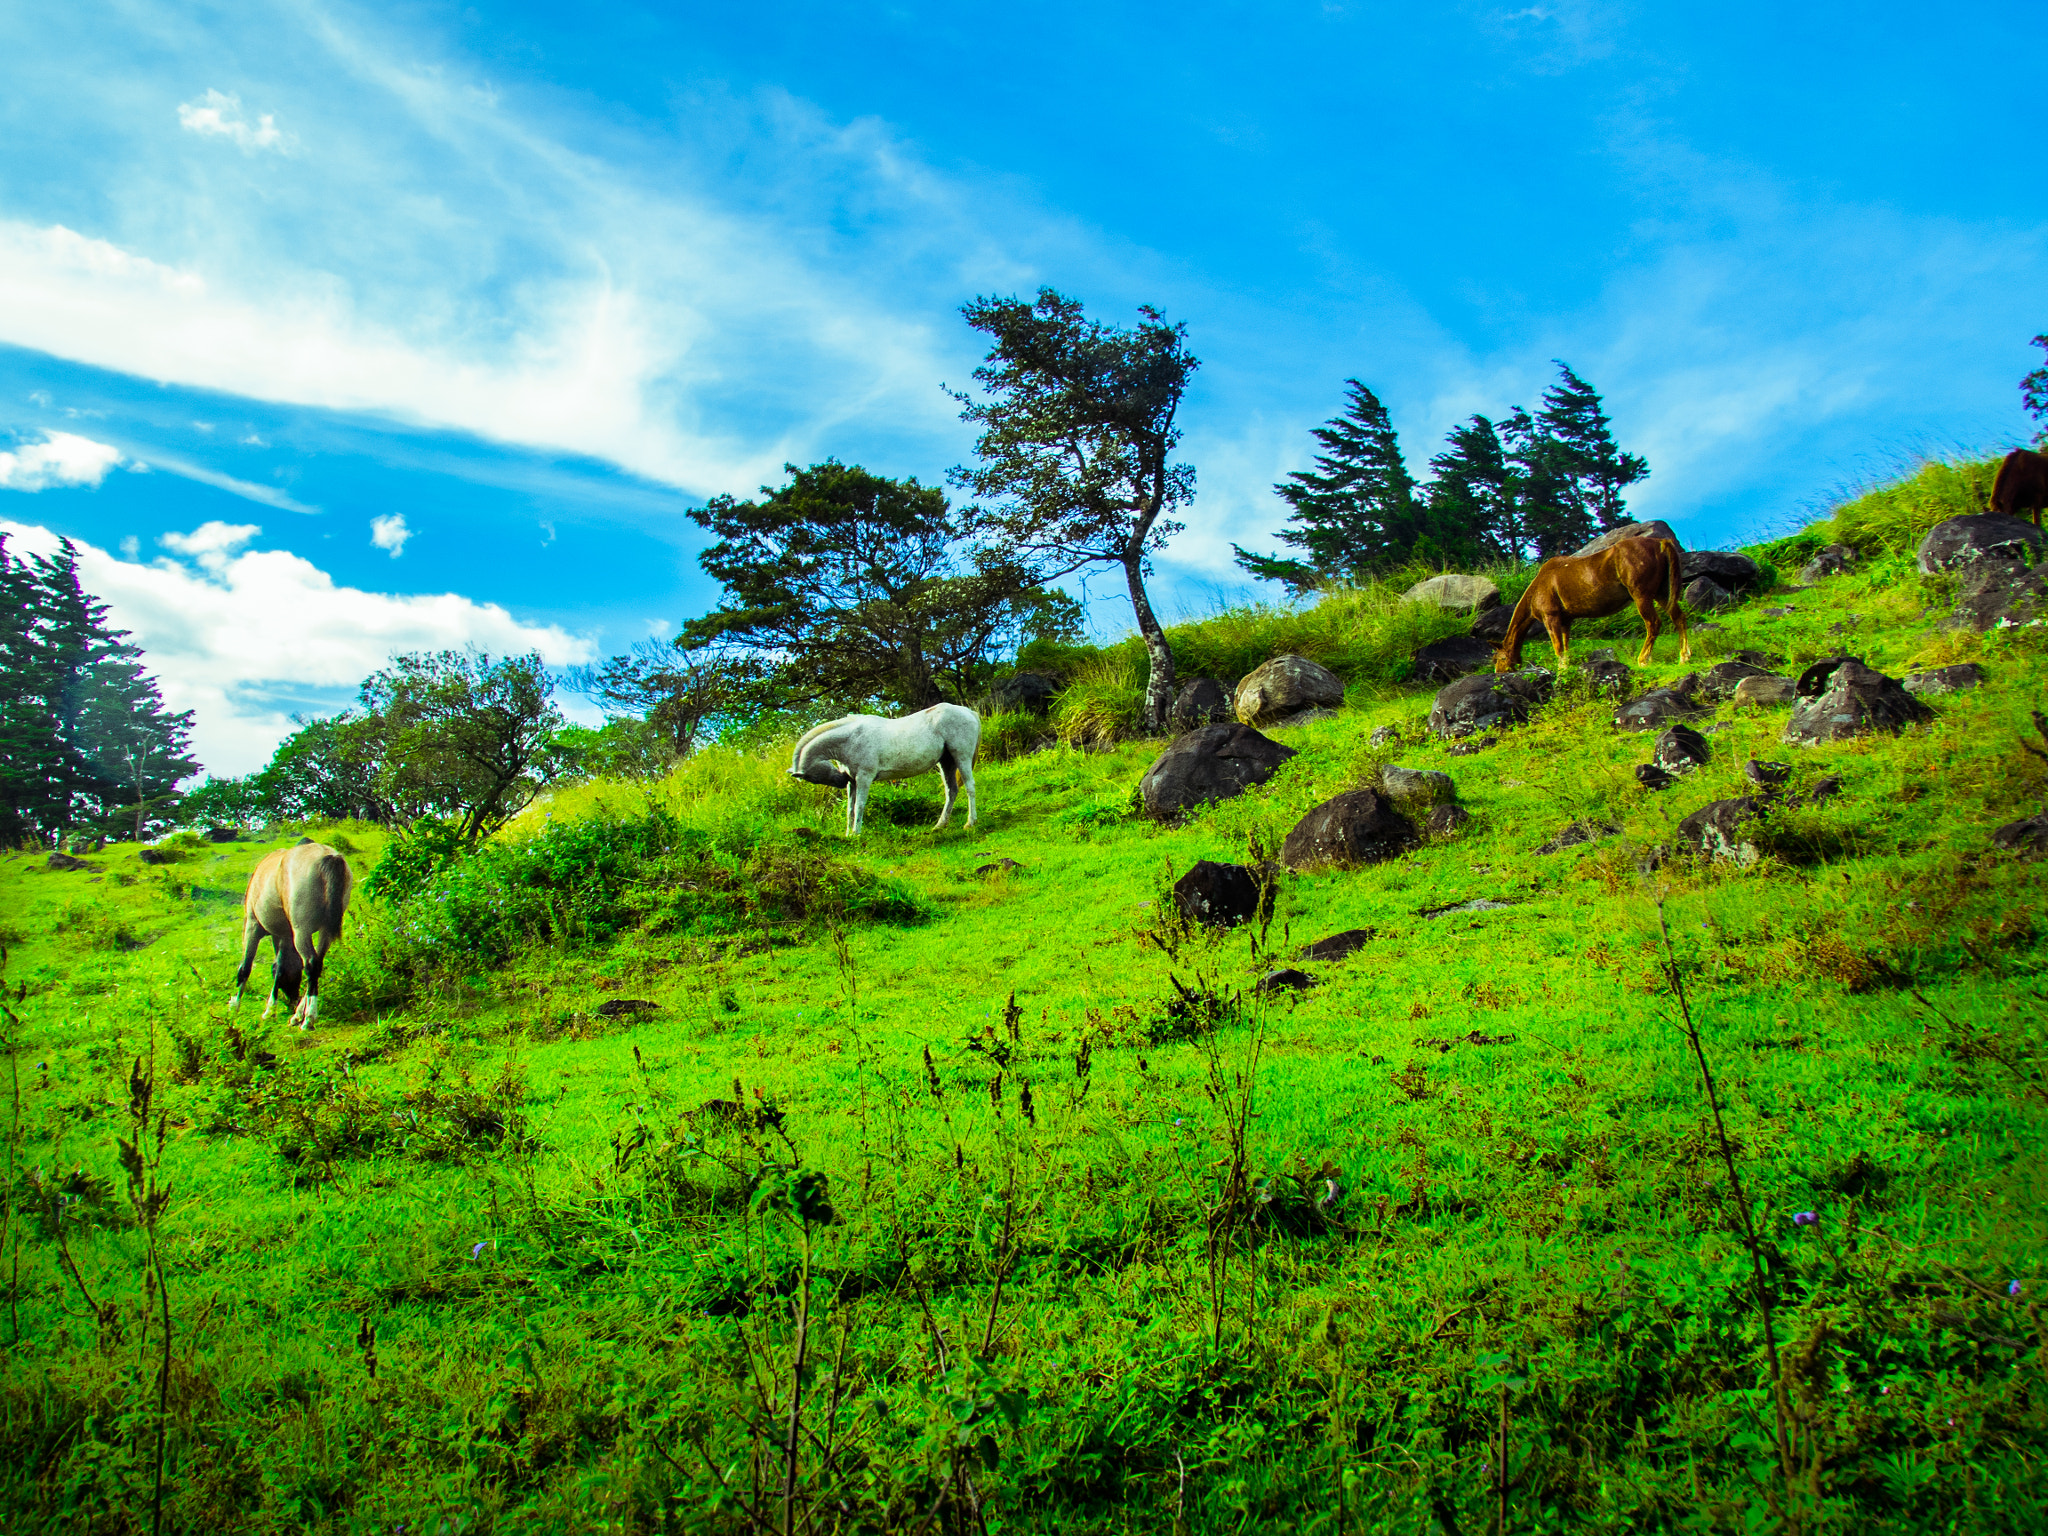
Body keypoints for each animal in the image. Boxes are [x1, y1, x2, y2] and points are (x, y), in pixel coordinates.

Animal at [230, 835, 354, 1028]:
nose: (291, 999)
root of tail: (329, 857)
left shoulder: (252, 926)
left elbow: (246, 966)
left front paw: (235, 1007)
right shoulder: (285, 935)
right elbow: (280, 967)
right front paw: (272, 1009)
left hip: (301, 931)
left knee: (311, 963)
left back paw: (309, 1018)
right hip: (323, 932)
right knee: (317, 964)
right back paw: (299, 1014)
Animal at [786, 704, 978, 835]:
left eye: (813, 778)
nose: (841, 780)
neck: (850, 738)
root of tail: (969, 712)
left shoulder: (864, 778)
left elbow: (859, 805)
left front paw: (856, 834)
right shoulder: (853, 782)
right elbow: (850, 809)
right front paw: (848, 834)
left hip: (961, 757)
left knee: (970, 787)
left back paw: (970, 823)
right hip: (946, 763)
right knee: (951, 790)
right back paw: (940, 825)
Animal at [1490, 540, 1695, 671]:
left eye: (1497, 659)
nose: (1499, 674)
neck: (1538, 587)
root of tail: (1661, 543)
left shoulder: (1551, 617)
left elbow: (1558, 648)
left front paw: (1561, 669)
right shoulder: (1566, 621)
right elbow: (1566, 645)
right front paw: (1567, 666)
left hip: (1641, 595)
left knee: (1653, 623)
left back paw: (1644, 659)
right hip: (1662, 593)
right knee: (1679, 617)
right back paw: (1684, 656)